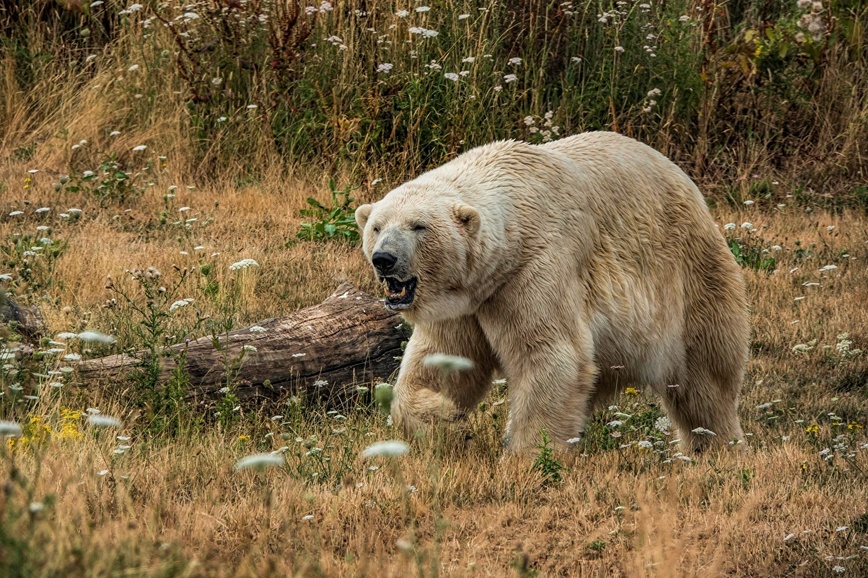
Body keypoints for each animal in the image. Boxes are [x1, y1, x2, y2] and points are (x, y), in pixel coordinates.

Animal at [356, 133, 748, 452]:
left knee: (704, 373)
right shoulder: (465, 300)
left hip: (690, 274)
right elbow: (443, 358)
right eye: (377, 226)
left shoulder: (535, 269)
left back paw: (715, 444)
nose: (384, 259)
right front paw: (443, 415)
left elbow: (550, 354)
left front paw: (526, 456)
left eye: (418, 226)